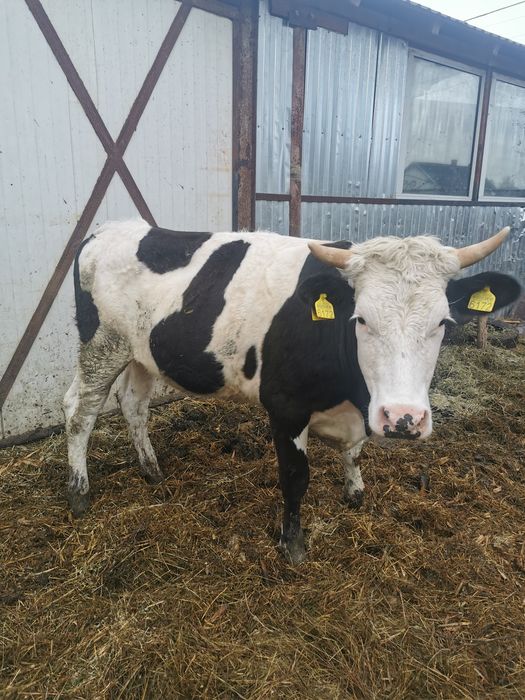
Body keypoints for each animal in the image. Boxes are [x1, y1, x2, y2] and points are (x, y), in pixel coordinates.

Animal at [64, 220, 520, 563]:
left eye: (443, 322)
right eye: (361, 319)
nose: (403, 419)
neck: (352, 393)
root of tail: (107, 229)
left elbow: (354, 454)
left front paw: (355, 492)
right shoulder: (285, 407)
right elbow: (296, 477)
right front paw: (293, 544)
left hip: (140, 353)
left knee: (133, 404)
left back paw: (152, 470)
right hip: (101, 346)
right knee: (79, 411)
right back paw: (79, 492)